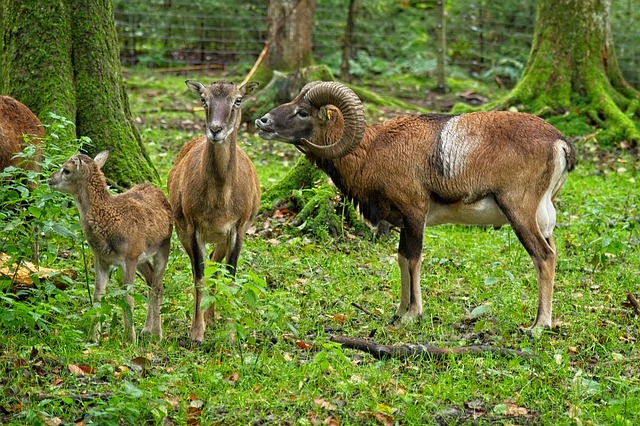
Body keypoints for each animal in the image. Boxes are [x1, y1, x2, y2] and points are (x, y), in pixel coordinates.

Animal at [48, 151, 172, 342]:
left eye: (66, 170)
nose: (49, 179)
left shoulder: (129, 257)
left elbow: (128, 298)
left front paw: (129, 339)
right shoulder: (102, 258)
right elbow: (98, 296)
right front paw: (93, 338)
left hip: (164, 245)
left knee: (158, 285)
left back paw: (157, 334)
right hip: (141, 257)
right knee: (151, 280)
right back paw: (146, 330)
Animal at [169, 80, 264, 342]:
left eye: (238, 100)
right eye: (204, 99)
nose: (215, 130)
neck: (220, 204)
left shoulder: (239, 227)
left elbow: (230, 275)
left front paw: (231, 334)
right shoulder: (192, 226)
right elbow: (199, 275)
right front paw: (196, 334)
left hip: (223, 237)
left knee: (215, 262)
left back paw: (213, 318)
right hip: (182, 230)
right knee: (201, 266)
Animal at [256, 82, 580, 330]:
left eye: (302, 112)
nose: (262, 122)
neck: (372, 151)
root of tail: (559, 142)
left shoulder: (414, 214)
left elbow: (413, 259)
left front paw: (412, 315)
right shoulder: (403, 222)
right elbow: (401, 259)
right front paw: (399, 312)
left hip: (520, 214)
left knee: (544, 257)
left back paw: (538, 326)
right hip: (542, 218)